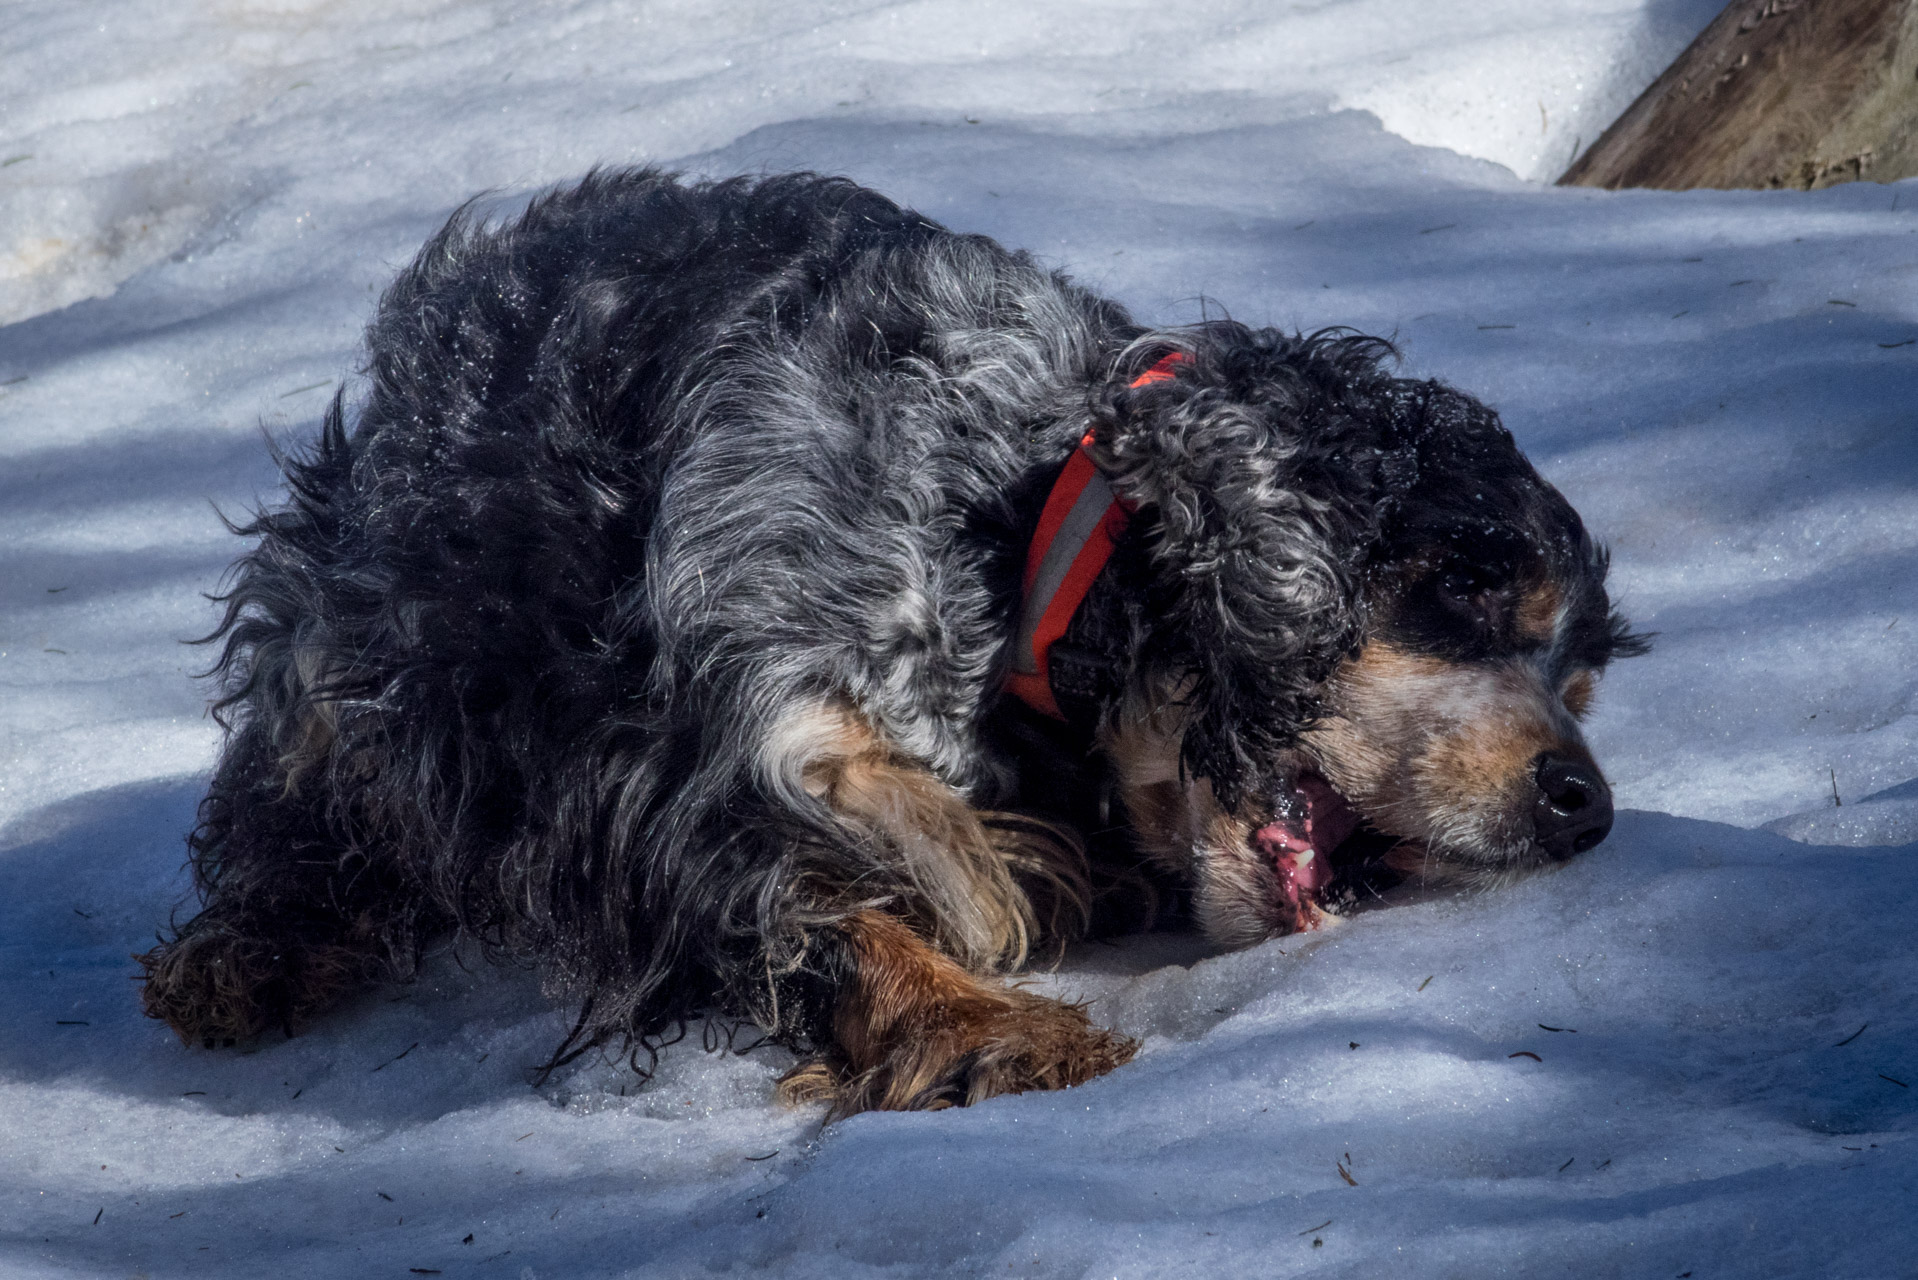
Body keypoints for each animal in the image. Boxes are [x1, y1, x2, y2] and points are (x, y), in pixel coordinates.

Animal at [135, 167, 1641, 1113]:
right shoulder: (689, 755)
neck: (1008, 525)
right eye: (1462, 594)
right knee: (295, 784)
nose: (1583, 803)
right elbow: (824, 871)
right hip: (369, 625)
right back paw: (243, 952)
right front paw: (992, 1018)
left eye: (1577, 677)